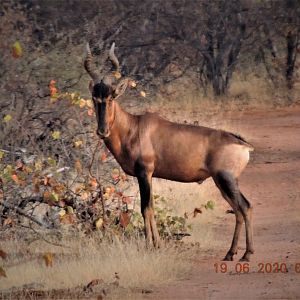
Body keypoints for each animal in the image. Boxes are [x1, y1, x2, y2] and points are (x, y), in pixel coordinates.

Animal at [83, 41, 254, 260]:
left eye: (112, 97)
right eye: (94, 98)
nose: (102, 131)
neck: (133, 127)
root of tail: (242, 144)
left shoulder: (144, 172)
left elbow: (145, 208)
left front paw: (150, 246)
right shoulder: (148, 176)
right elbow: (152, 208)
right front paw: (157, 244)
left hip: (226, 179)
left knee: (245, 207)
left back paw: (246, 254)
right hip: (222, 182)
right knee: (238, 210)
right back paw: (231, 254)